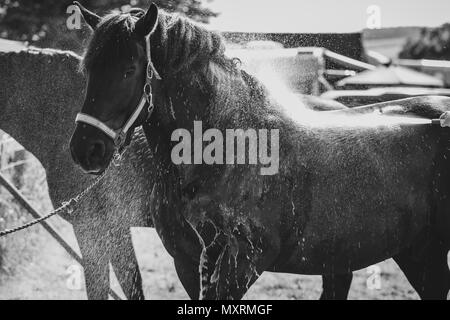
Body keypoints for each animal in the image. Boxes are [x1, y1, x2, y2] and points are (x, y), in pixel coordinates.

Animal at [69, 3, 450, 298]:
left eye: (129, 69)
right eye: (87, 69)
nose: (86, 149)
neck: (224, 153)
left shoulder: (242, 263)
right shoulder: (188, 264)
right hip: (417, 253)